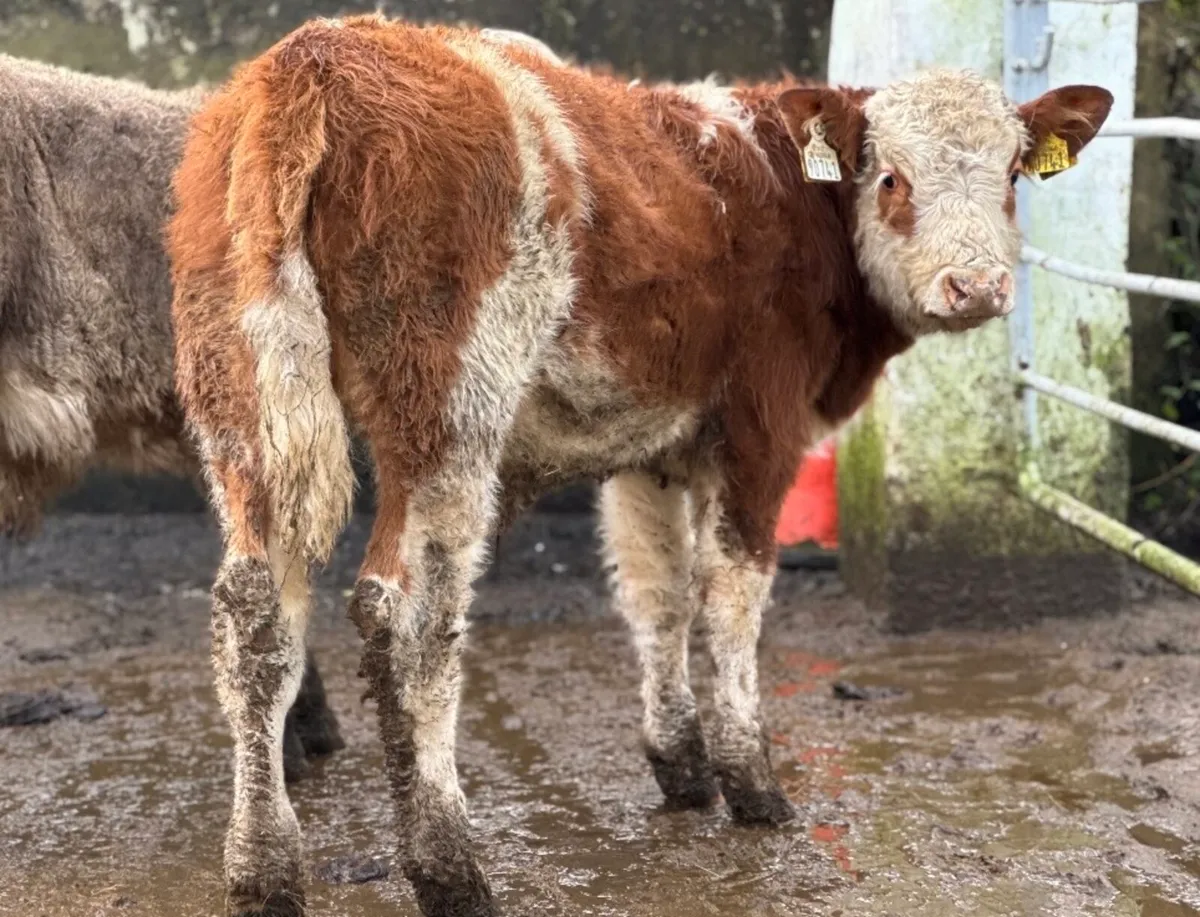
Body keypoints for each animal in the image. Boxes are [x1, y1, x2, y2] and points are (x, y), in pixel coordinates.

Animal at [165, 14, 1113, 917]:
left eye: (1012, 176)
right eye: (891, 179)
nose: (976, 286)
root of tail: (317, 56)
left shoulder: (648, 448)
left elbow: (657, 593)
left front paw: (681, 763)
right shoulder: (760, 429)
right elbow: (730, 600)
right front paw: (752, 782)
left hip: (243, 405)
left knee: (257, 613)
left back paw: (262, 868)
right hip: (448, 412)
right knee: (409, 619)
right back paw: (449, 867)